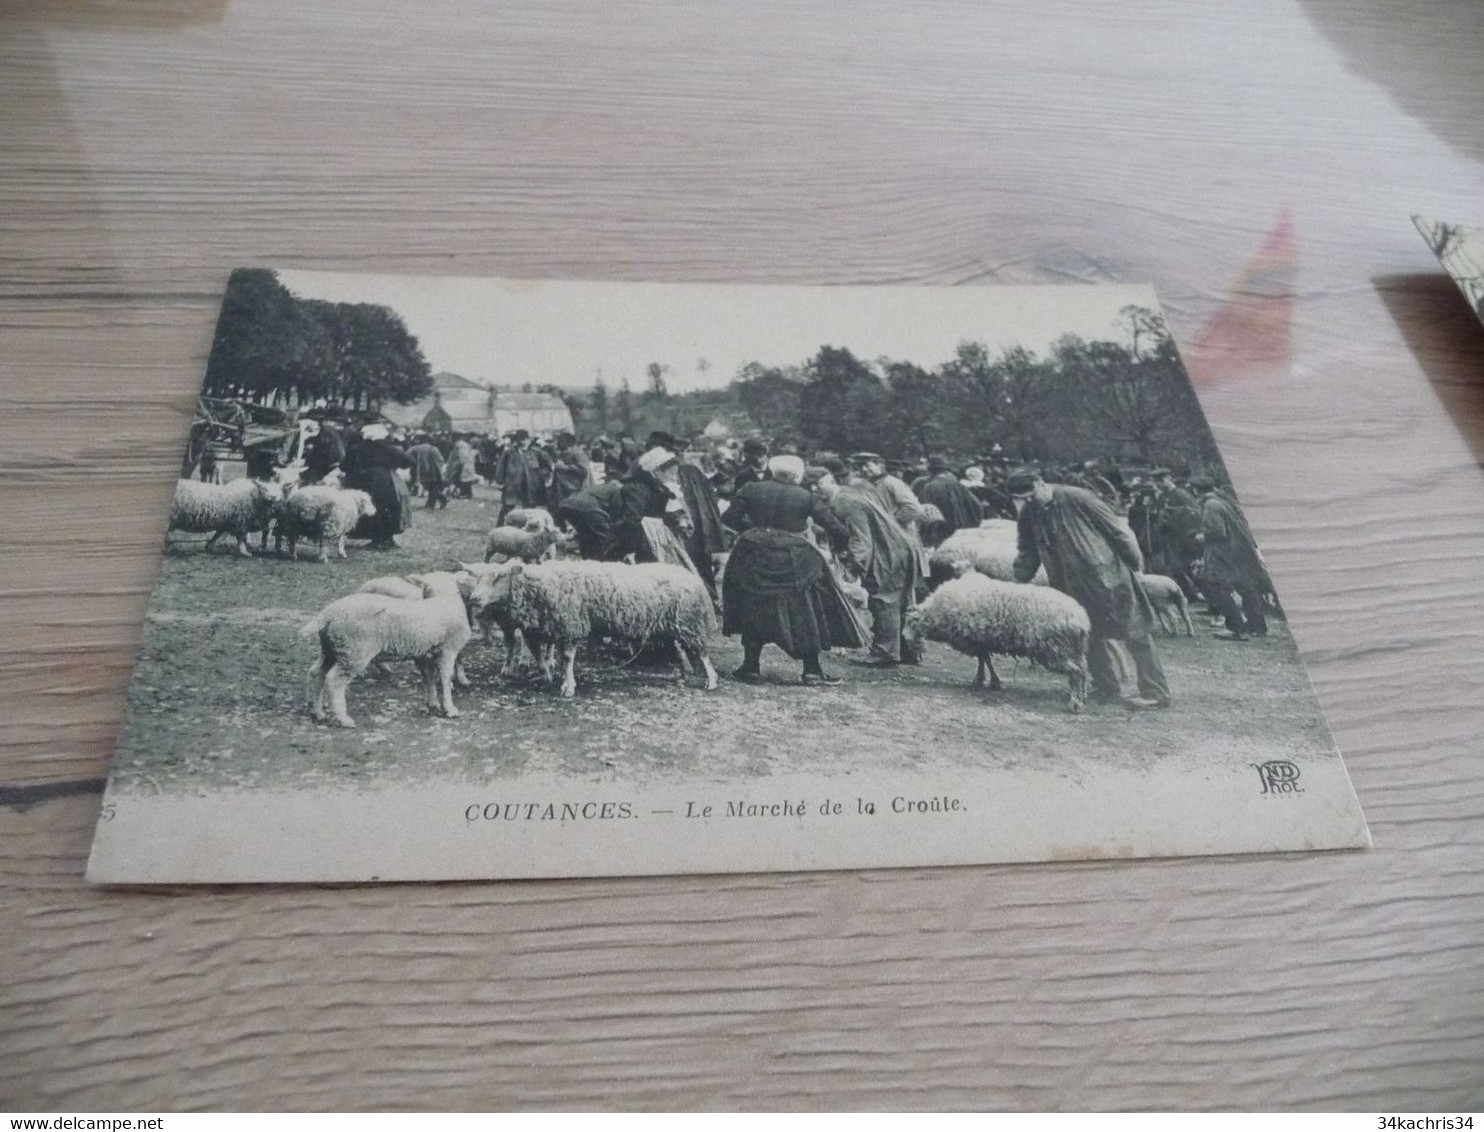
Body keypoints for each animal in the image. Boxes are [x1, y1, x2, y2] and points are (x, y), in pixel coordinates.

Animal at [305, 575, 477, 726]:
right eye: (426, 590)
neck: (447, 601)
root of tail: (328, 613)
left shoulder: (423, 654)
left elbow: (429, 677)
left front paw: (433, 704)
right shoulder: (449, 649)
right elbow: (446, 677)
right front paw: (450, 709)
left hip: (332, 648)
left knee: (316, 673)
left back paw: (317, 713)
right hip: (353, 651)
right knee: (334, 681)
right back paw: (343, 719)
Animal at [465, 560, 715, 700]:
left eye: (499, 577)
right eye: (476, 578)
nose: (474, 599)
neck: (539, 584)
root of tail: (695, 579)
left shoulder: (570, 626)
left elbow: (567, 659)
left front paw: (568, 686)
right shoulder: (542, 629)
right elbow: (540, 655)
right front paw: (546, 675)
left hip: (689, 622)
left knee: (703, 652)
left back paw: (711, 680)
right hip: (678, 623)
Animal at [896, 569, 1098, 712]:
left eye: (909, 623)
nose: (904, 638)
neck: (937, 611)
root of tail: (1081, 620)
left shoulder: (974, 640)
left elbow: (983, 659)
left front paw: (985, 680)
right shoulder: (981, 641)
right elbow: (984, 659)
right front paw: (988, 680)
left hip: (1055, 649)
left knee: (1075, 672)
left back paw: (1074, 703)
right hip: (1075, 650)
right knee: (1083, 669)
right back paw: (1083, 695)